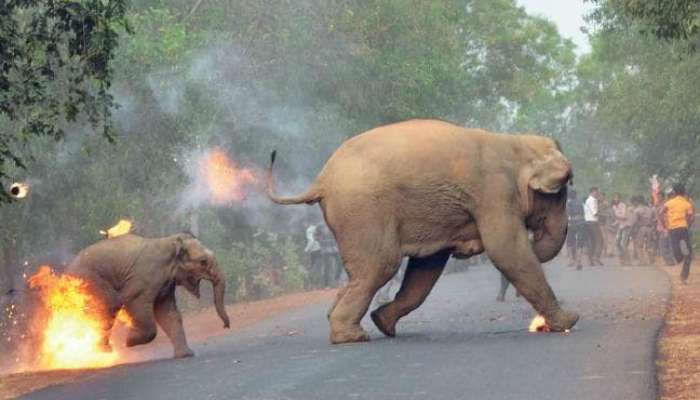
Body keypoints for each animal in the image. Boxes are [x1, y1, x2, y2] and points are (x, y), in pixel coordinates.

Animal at [66, 233, 231, 358]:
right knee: (108, 307)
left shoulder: (166, 284)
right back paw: (103, 351)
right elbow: (136, 303)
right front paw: (129, 341)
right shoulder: (143, 278)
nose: (225, 326)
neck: (171, 241)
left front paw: (186, 355)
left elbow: (168, 313)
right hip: (91, 281)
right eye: (203, 262)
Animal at [268, 119, 580, 344]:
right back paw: (351, 337)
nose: (536, 237)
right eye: (560, 194)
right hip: (363, 210)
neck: (515, 144)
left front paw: (383, 321)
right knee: (381, 265)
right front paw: (569, 321)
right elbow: (507, 250)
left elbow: (426, 268)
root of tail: (321, 179)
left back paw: (352, 322)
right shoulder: (494, 193)